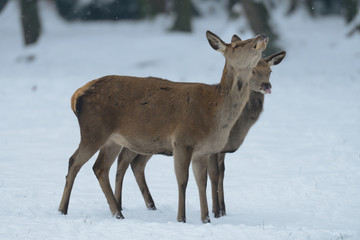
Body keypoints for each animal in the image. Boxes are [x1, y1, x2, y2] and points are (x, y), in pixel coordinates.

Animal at [59, 30, 268, 223]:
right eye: (238, 45)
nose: (262, 36)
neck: (215, 113)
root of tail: (75, 95)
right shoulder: (182, 141)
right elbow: (182, 180)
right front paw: (181, 218)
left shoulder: (203, 151)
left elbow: (202, 183)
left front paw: (206, 219)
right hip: (94, 130)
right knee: (74, 161)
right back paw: (63, 209)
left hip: (113, 140)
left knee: (100, 168)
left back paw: (117, 213)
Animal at [115, 41, 286, 218]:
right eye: (253, 70)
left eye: (270, 71)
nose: (266, 85)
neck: (236, 129)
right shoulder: (212, 149)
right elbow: (215, 175)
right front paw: (216, 211)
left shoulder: (220, 150)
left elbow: (222, 174)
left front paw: (222, 210)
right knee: (125, 161)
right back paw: (122, 206)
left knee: (135, 163)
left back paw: (149, 206)